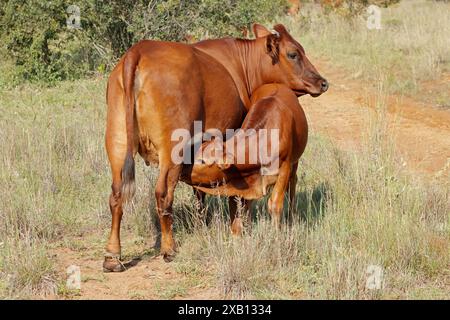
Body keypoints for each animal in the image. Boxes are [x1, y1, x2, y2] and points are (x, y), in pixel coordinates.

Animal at [185, 82, 308, 234]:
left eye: (202, 160)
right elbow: (242, 207)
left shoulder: (284, 169)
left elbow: (274, 204)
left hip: (294, 162)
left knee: (293, 183)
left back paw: (292, 217)